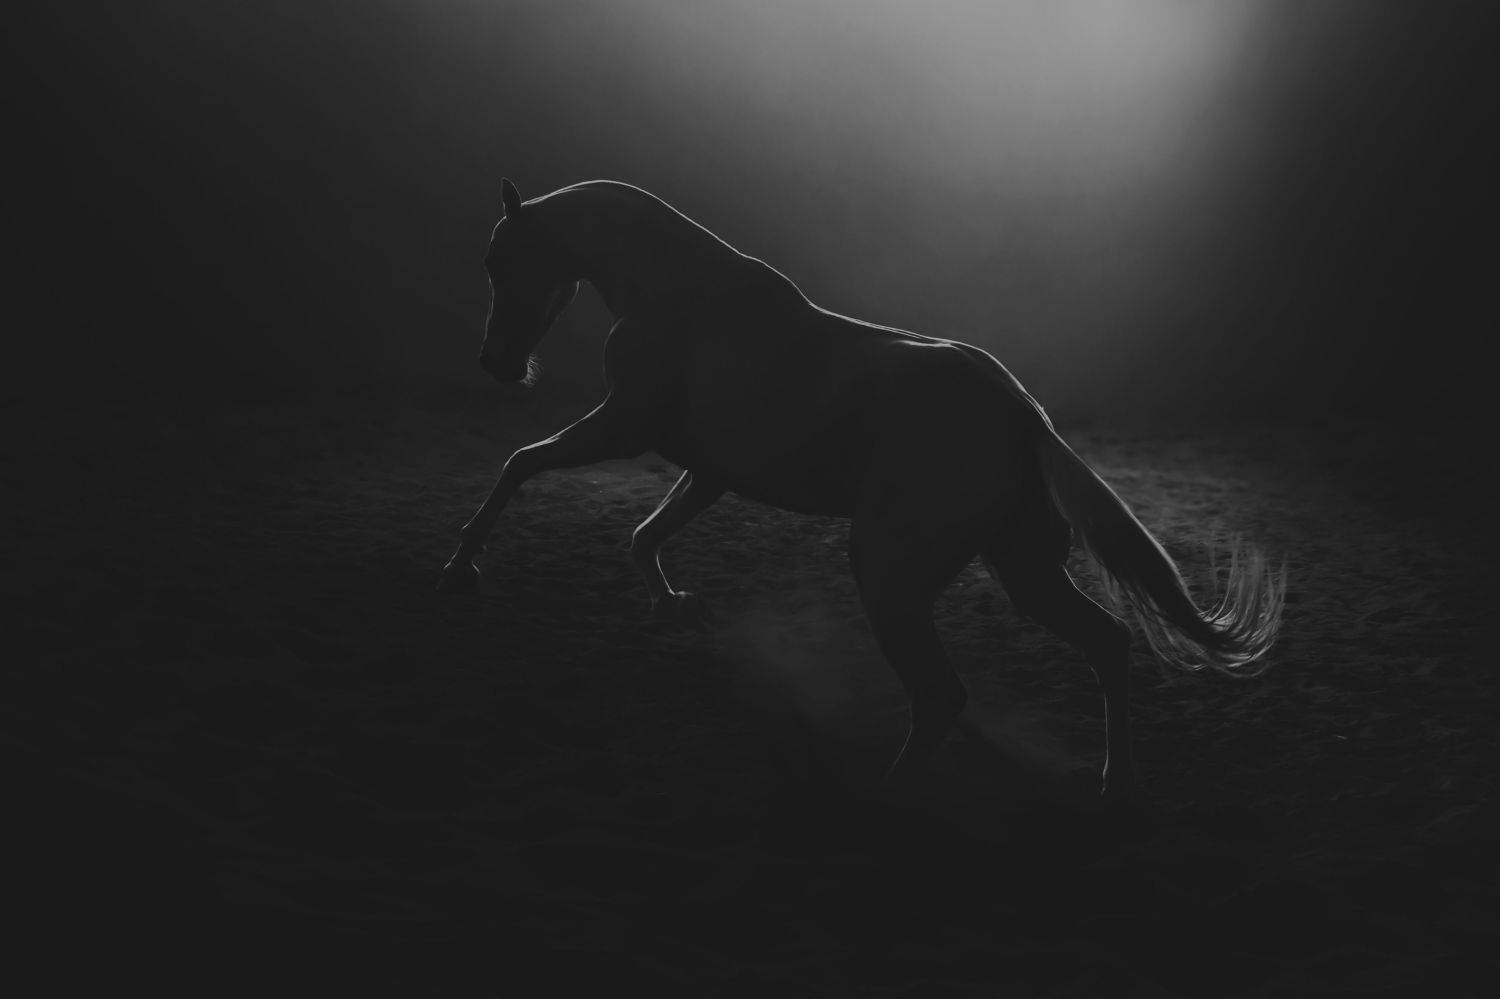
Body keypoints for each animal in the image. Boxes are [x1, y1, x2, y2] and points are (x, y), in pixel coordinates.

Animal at [438, 178, 1284, 799]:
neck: (678, 294)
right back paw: (1116, 782)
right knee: (1106, 642)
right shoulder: (709, 470)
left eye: (500, 263)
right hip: (1021, 568)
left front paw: (461, 566)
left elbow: (520, 462)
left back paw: (881, 796)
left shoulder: (623, 429)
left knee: (943, 694)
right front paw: (670, 603)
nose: (494, 363)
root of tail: (1020, 413)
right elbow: (645, 531)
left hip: (891, 572)